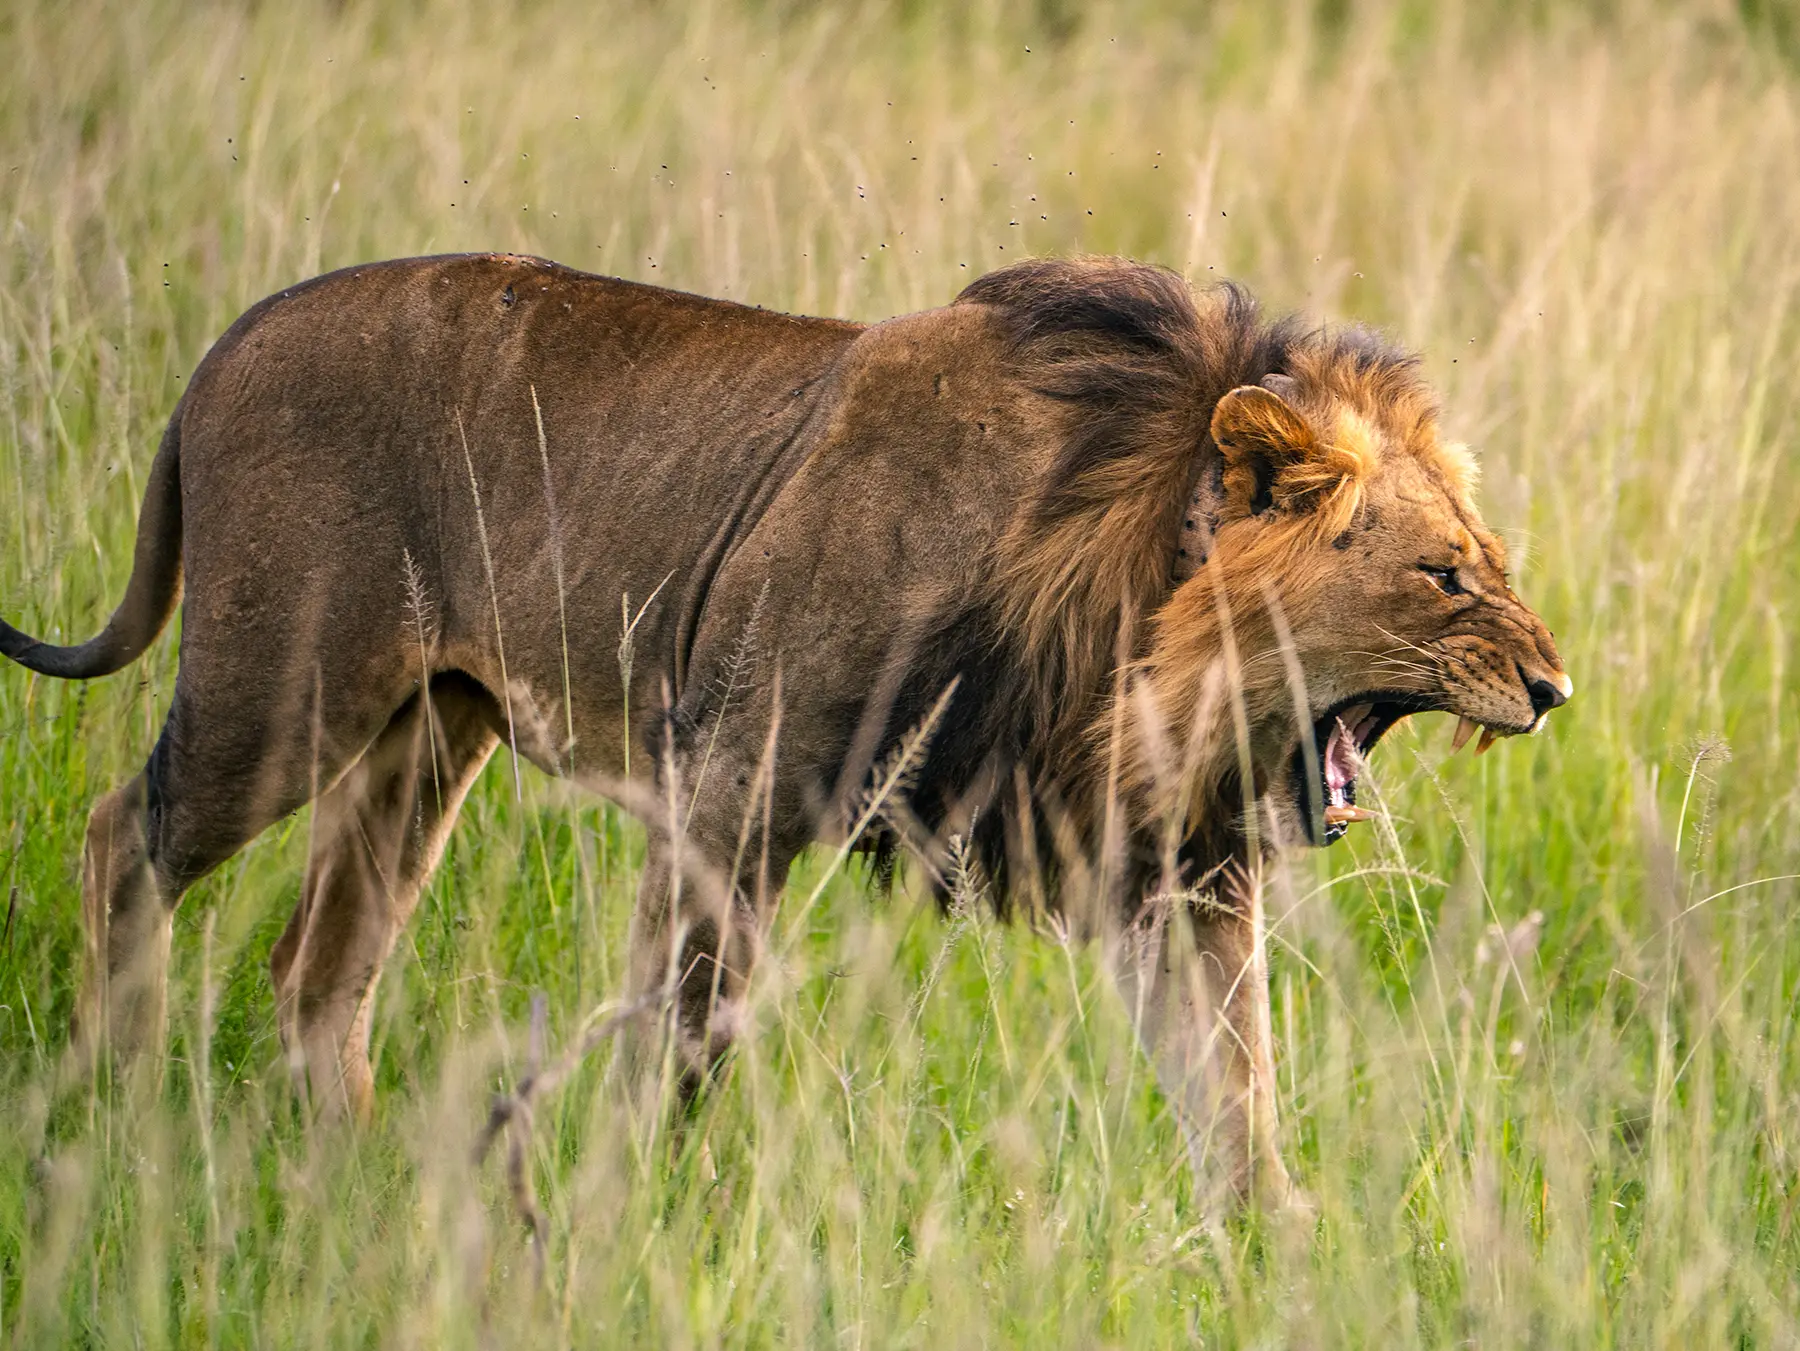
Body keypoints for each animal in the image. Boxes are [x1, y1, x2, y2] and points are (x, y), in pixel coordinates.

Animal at [1, 253, 1569, 1207]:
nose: (1555, 687)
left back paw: (362, 1171)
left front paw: (1270, 1241)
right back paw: (118, 1102)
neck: (1127, 618)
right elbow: (681, 1023)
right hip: (283, 688)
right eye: (1443, 575)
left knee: (317, 969)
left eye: (1484, 555)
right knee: (122, 841)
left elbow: (1238, 1078)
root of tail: (235, 338)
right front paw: (638, 1197)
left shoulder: (1175, 871)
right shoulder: (727, 779)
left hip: (426, 734)